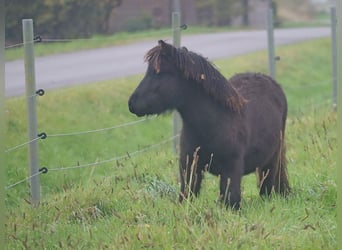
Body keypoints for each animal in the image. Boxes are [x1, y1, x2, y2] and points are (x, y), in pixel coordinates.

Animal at [128, 40, 288, 209]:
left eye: (158, 72)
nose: (132, 104)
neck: (213, 123)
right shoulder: (189, 168)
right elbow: (186, 196)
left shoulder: (231, 172)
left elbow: (231, 200)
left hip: (271, 162)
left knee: (267, 189)